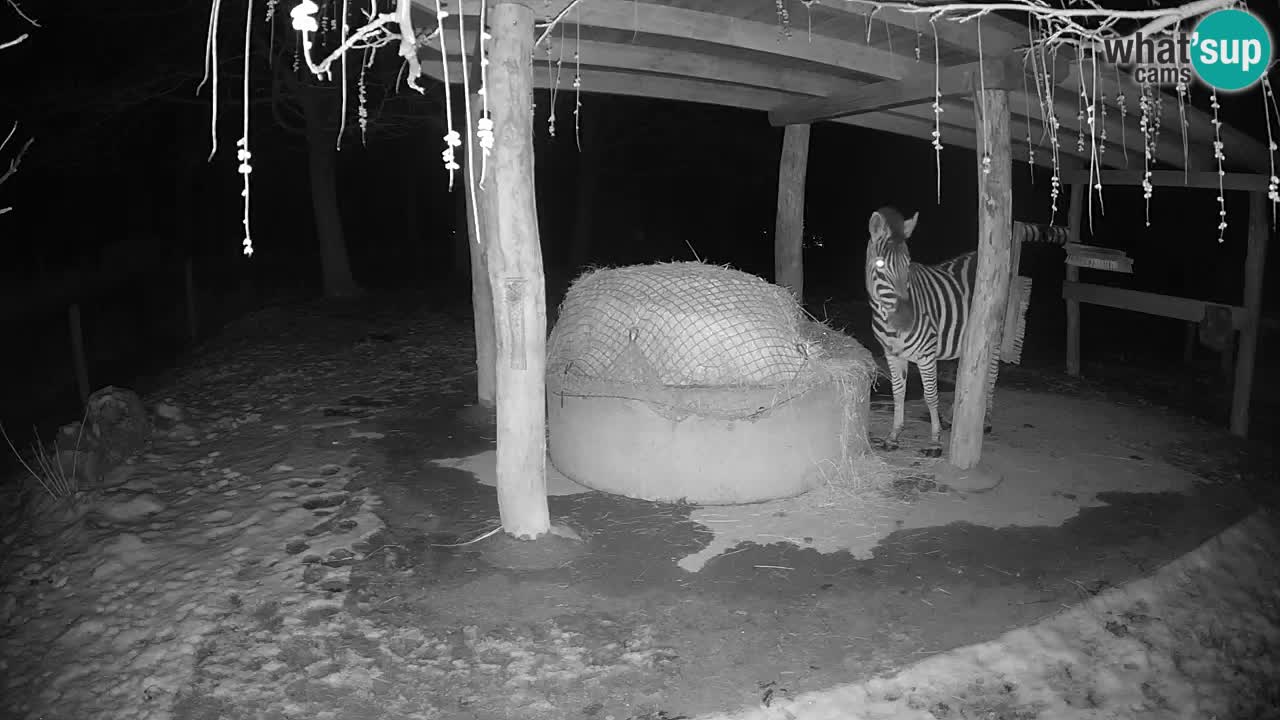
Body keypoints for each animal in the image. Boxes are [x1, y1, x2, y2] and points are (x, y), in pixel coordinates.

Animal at [870, 207, 1070, 450]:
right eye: (880, 265)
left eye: (908, 264)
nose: (906, 319)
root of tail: (980, 256)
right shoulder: (891, 353)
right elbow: (898, 392)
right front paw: (894, 435)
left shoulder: (926, 353)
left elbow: (931, 394)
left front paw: (935, 441)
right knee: (966, 376)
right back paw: (952, 416)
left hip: (994, 334)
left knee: (990, 375)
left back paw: (986, 420)